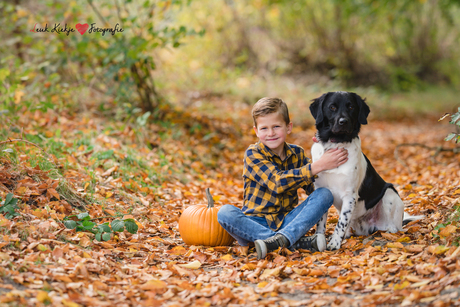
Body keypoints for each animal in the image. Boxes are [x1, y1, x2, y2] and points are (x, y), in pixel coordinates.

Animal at [310, 91, 422, 250]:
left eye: (351, 106)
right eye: (332, 107)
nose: (343, 121)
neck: (336, 144)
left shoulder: (350, 195)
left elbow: (341, 222)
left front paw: (334, 243)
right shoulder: (321, 190)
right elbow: (321, 222)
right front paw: (320, 239)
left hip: (389, 194)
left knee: (395, 227)